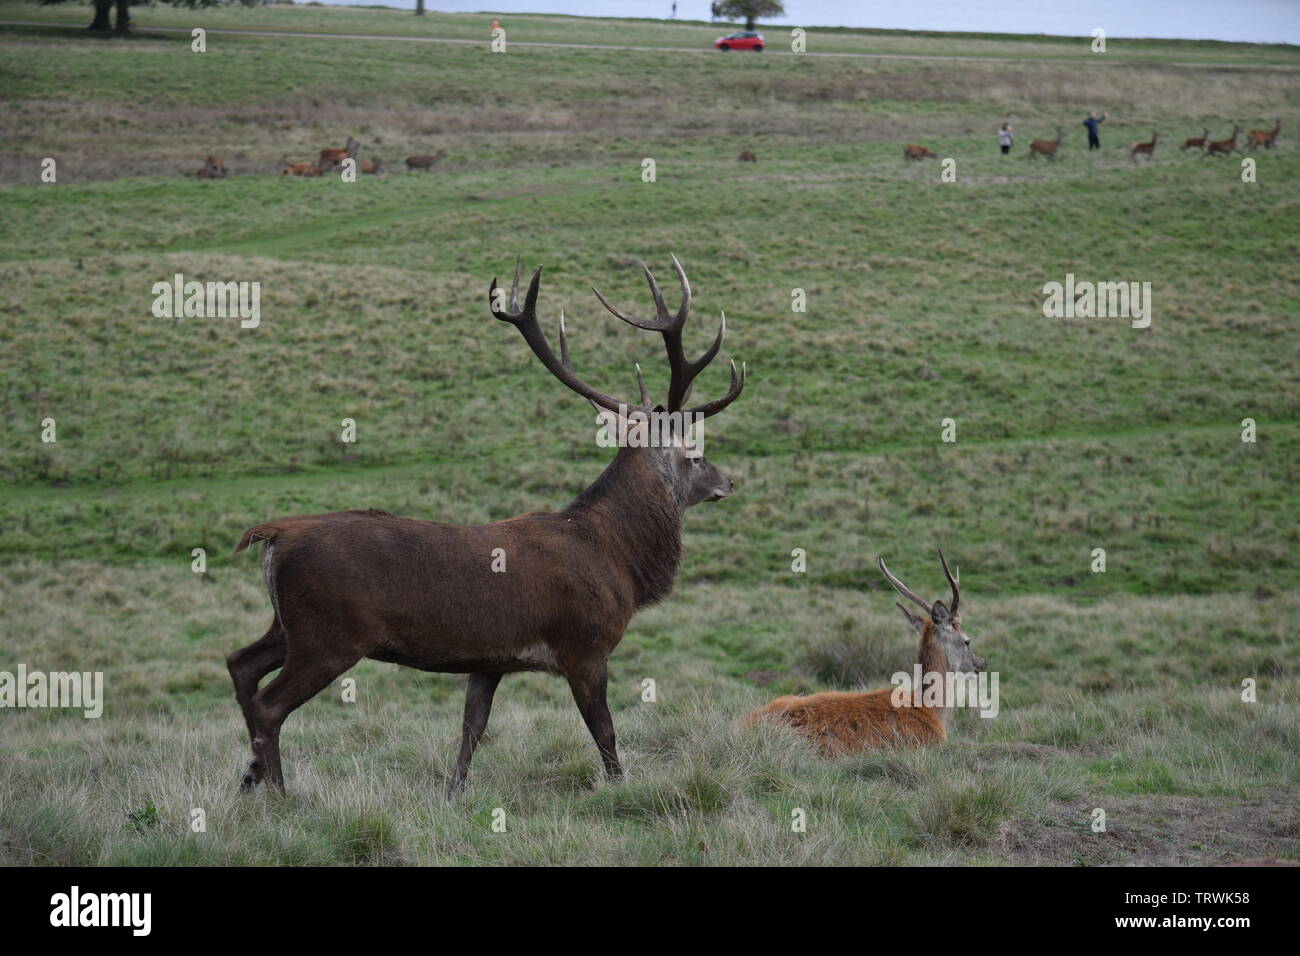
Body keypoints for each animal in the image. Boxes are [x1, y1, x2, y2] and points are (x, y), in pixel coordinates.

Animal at [228, 257, 748, 796]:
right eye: (695, 453)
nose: (728, 481)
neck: (618, 558)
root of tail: (274, 535)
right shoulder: (584, 645)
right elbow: (604, 731)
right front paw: (620, 787)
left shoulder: (488, 660)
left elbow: (471, 731)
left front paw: (453, 792)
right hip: (329, 634)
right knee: (269, 704)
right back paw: (279, 793)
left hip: (288, 624)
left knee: (240, 664)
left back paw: (250, 777)